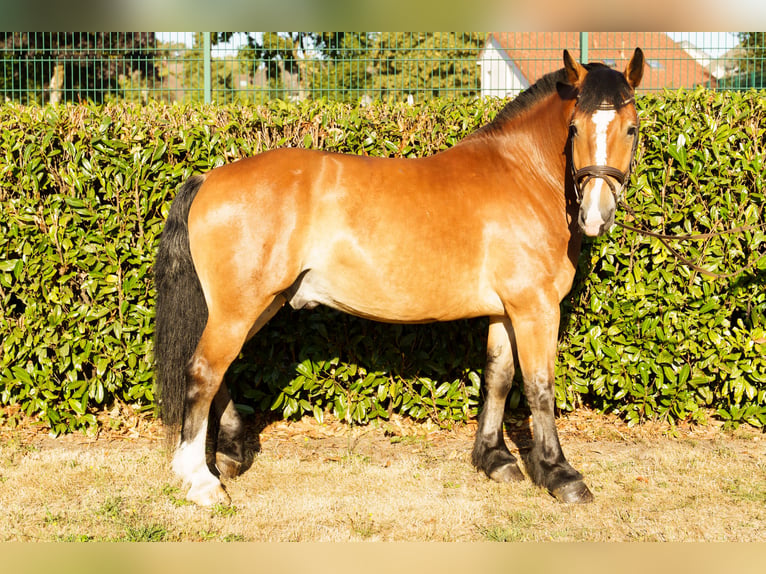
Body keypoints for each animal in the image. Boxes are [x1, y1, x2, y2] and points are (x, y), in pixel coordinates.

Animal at [154, 48, 645, 506]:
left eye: (631, 128)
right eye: (575, 128)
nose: (596, 215)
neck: (523, 176)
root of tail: (209, 178)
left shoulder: (507, 311)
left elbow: (498, 378)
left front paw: (495, 459)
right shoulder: (535, 308)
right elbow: (540, 387)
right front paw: (561, 475)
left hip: (259, 305)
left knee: (217, 371)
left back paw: (229, 455)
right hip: (239, 307)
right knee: (203, 372)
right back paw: (201, 481)